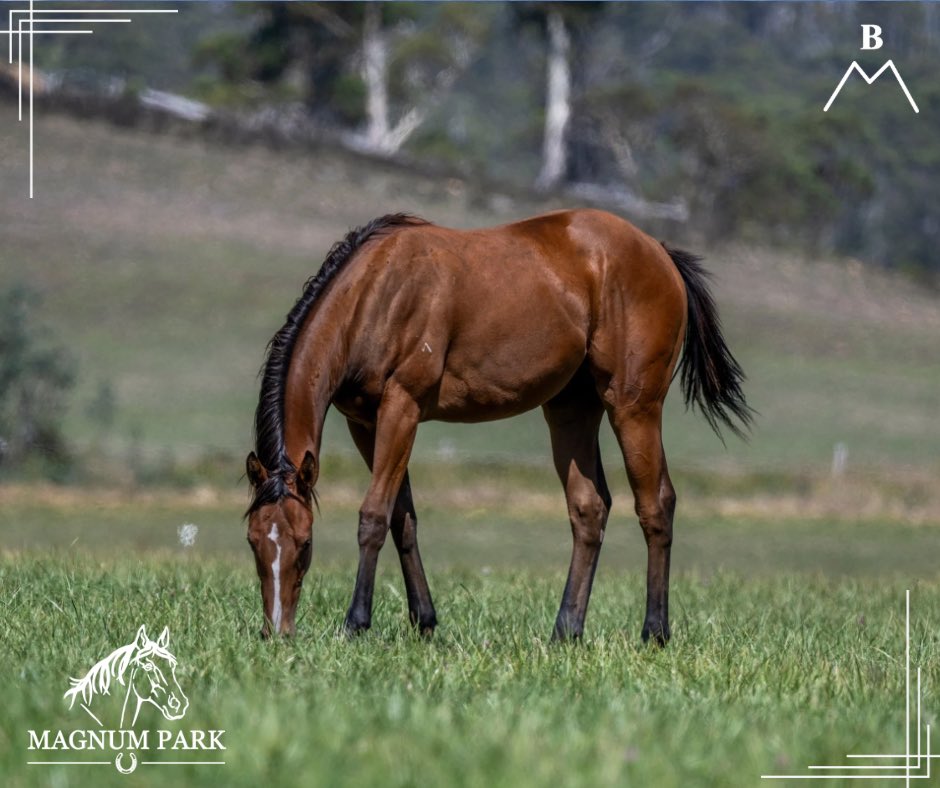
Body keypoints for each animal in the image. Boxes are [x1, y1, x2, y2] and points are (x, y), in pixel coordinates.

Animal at [244, 208, 751, 643]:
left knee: (656, 504)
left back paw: (654, 633)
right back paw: (566, 631)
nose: (277, 632)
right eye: (252, 541)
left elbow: (374, 515)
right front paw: (424, 622)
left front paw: (355, 624)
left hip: (633, 407)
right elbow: (402, 518)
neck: (375, 293)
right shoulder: (366, 422)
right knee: (589, 508)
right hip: (571, 408)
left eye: (305, 542)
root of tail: (659, 252)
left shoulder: (402, 407)